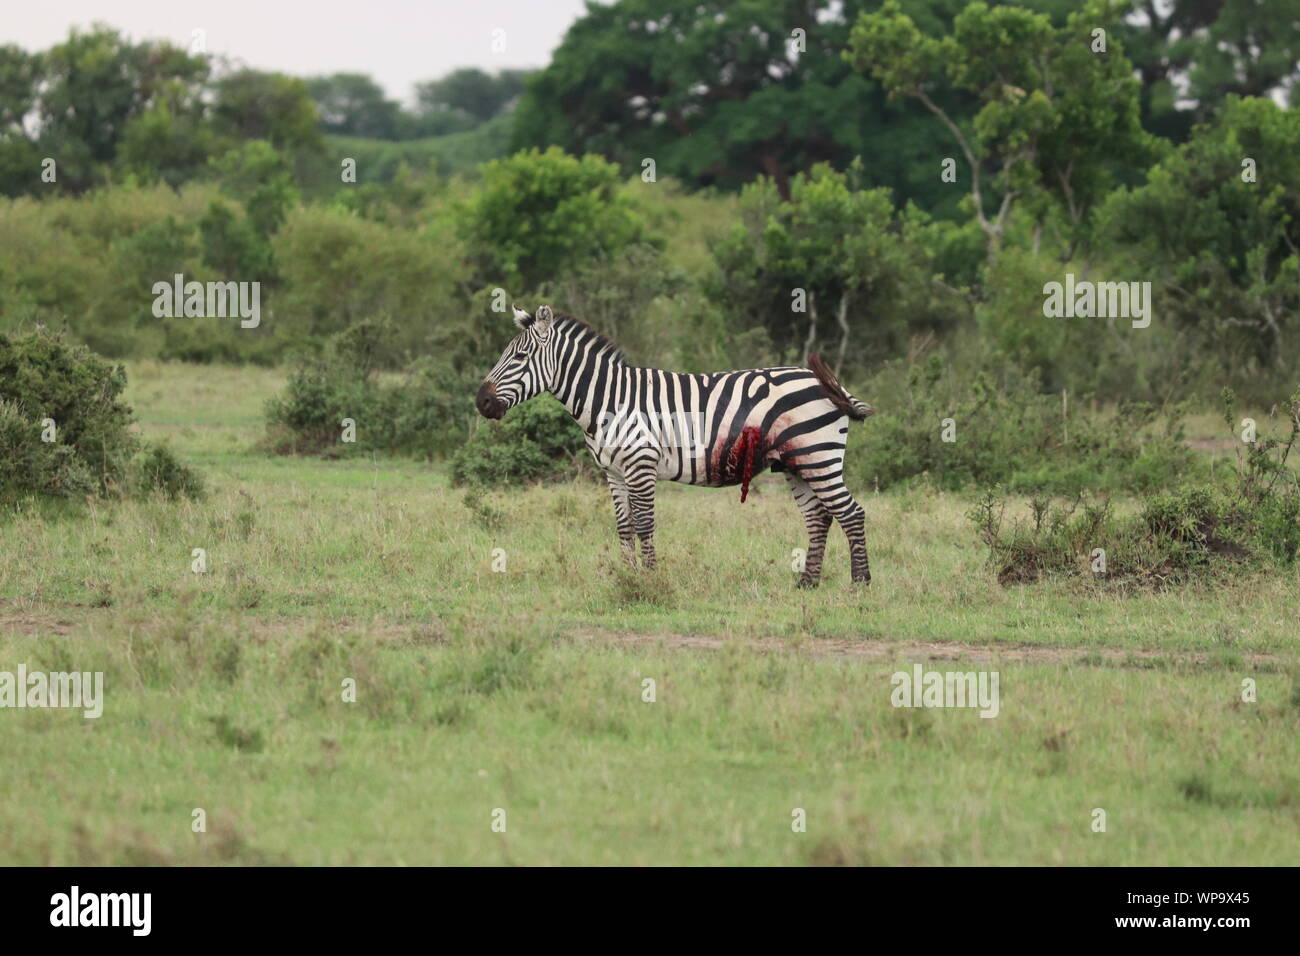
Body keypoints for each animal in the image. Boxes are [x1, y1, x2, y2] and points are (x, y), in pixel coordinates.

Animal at [475, 304, 876, 586]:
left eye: (520, 357)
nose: (481, 402)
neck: (610, 401)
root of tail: (825, 381)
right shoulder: (613, 472)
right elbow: (624, 526)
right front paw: (627, 577)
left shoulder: (641, 464)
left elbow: (645, 524)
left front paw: (650, 580)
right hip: (796, 462)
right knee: (819, 516)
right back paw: (807, 583)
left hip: (818, 456)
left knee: (851, 513)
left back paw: (859, 584)